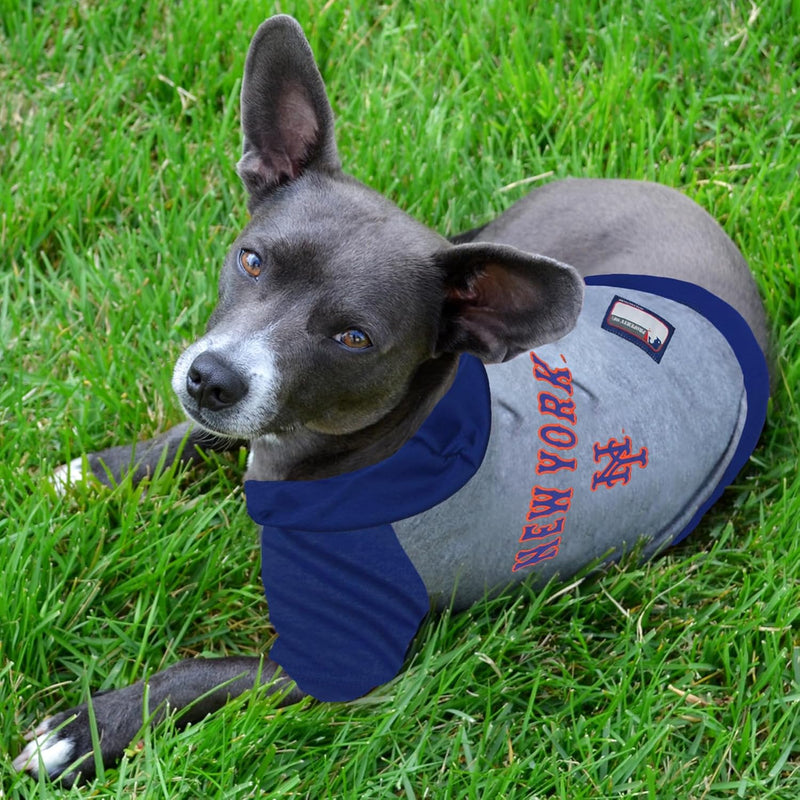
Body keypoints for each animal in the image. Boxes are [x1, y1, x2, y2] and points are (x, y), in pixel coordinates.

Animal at [14, 14, 768, 788]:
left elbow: (199, 674)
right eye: (252, 259)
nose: (210, 378)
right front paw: (100, 472)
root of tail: (668, 193)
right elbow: (196, 434)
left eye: (354, 338)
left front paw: (84, 731)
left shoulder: (327, 665)